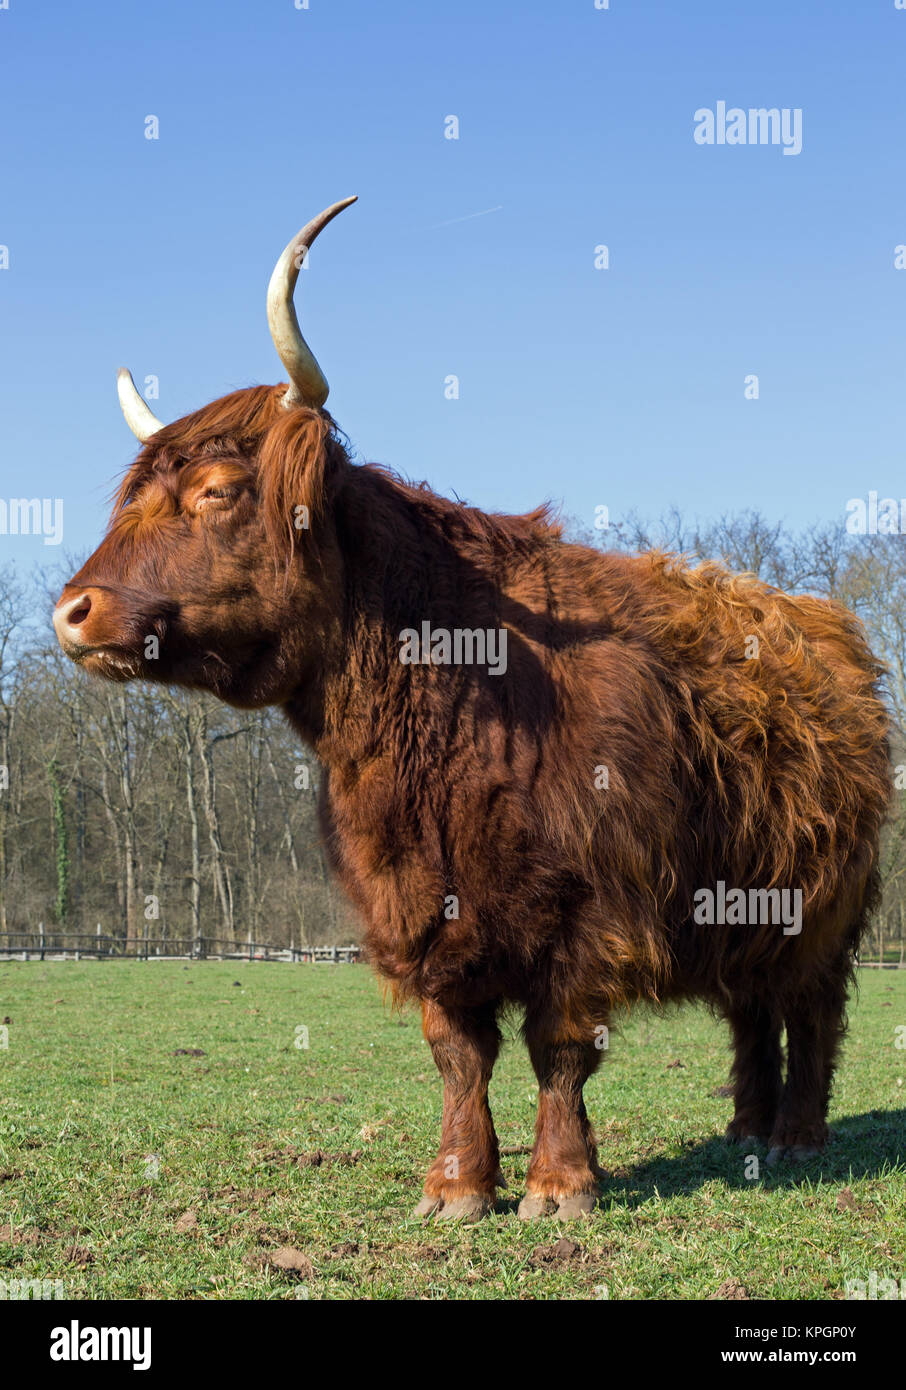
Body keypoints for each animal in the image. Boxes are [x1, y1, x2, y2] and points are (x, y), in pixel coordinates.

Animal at [54, 198, 891, 1222]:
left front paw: (559, 1187)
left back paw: (797, 1136)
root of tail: (829, 630)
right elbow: (458, 1051)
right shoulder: (417, 904)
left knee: (808, 1013)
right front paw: (455, 1186)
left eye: (217, 493)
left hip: (824, 913)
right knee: (748, 1010)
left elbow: (559, 1047)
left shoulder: (590, 908)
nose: (70, 611)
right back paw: (744, 1130)